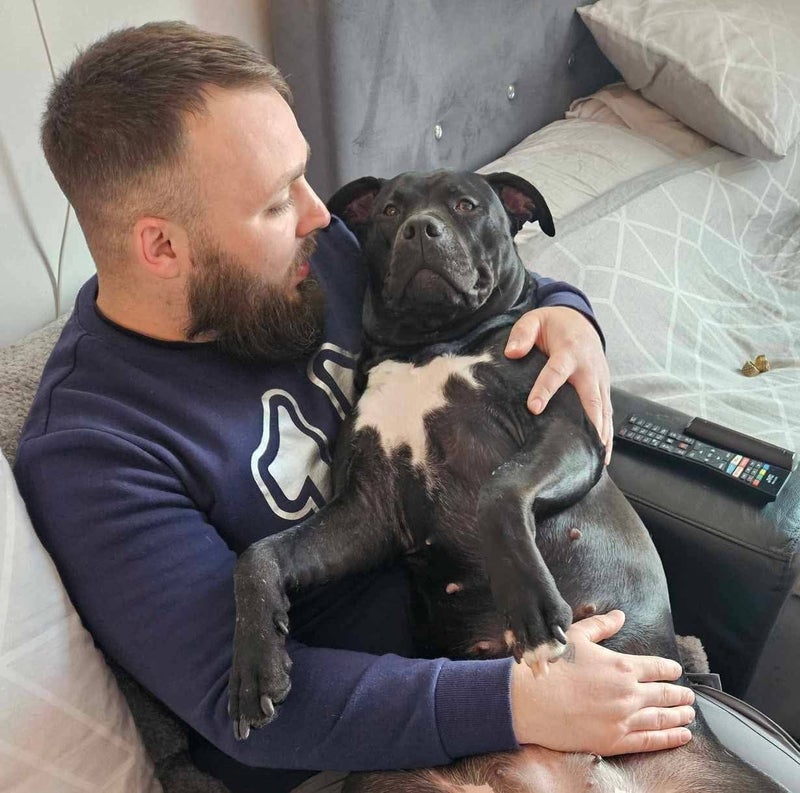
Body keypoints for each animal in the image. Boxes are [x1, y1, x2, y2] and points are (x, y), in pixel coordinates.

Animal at [229, 170, 788, 792]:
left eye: (466, 204)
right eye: (390, 210)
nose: (420, 228)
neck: (428, 347)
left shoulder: (564, 432)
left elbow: (498, 492)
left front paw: (532, 609)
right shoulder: (369, 509)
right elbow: (259, 555)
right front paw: (254, 664)